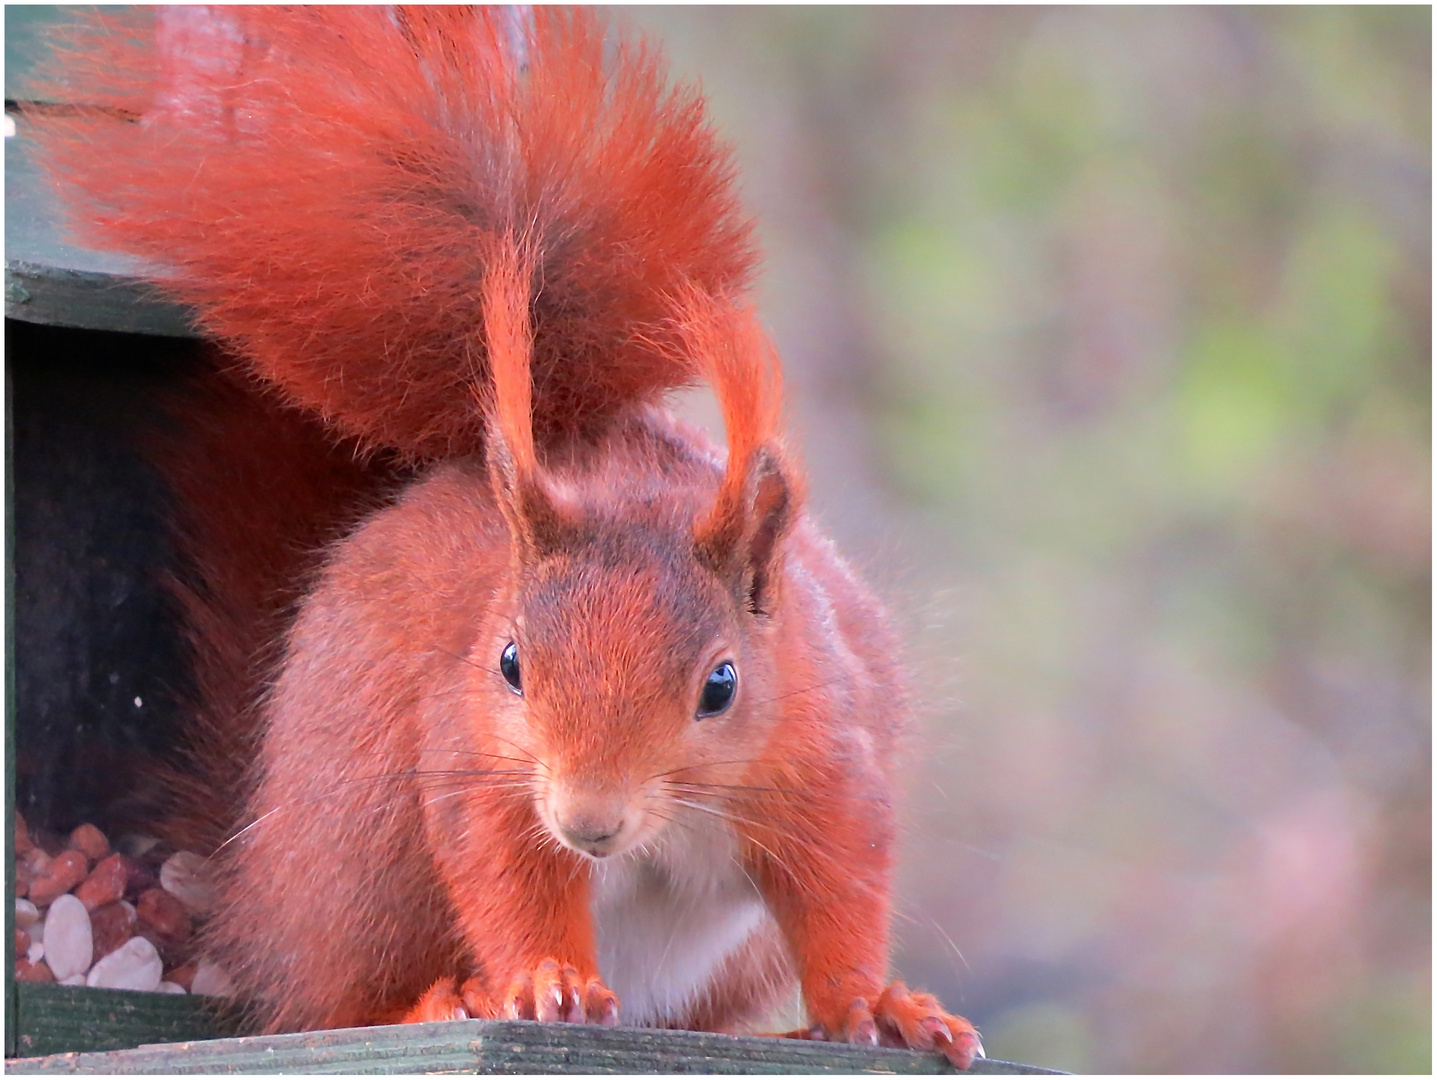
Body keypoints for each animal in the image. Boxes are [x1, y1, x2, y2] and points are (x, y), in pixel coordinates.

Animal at [28, 6, 982, 1074]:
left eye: (722, 685)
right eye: (510, 662)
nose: (587, 822)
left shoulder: (825, 763)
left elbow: (840, 897)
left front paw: (880, 1004)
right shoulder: (481, 762)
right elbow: (505, 871)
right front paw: (542, 979)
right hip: (362, 876)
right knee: (337, 995)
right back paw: (435, 1002)